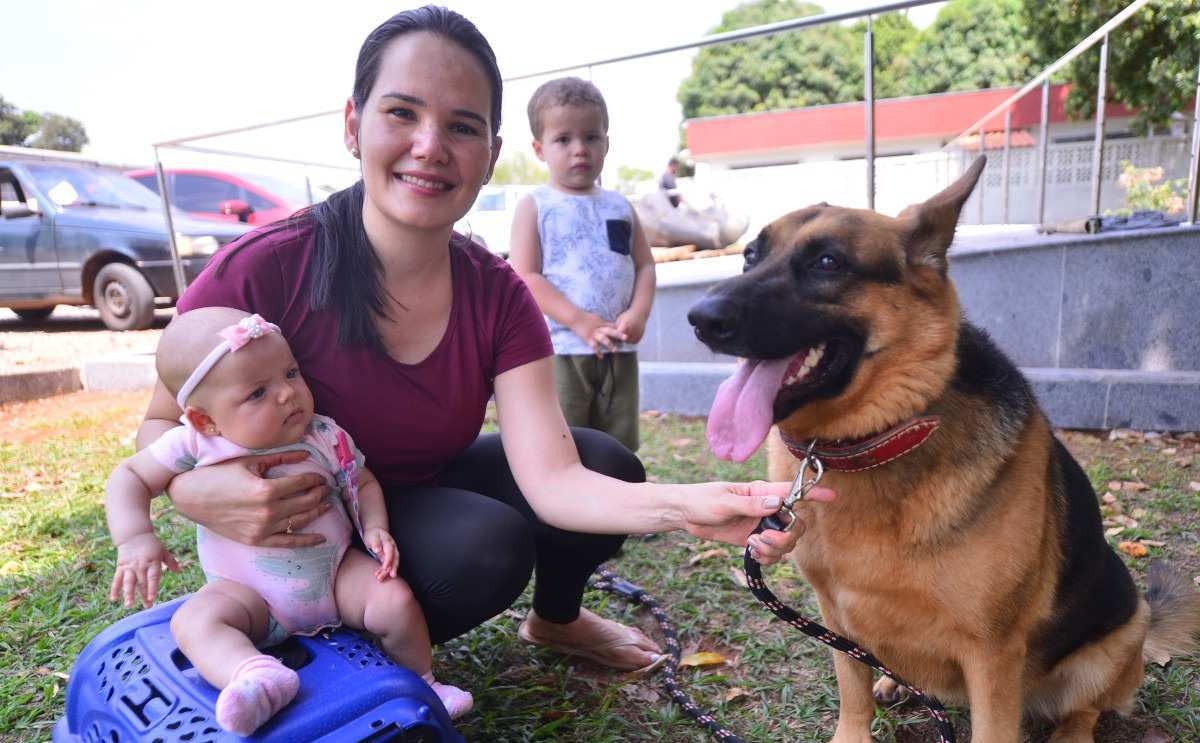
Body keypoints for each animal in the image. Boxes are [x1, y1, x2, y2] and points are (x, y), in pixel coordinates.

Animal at [691, 153, 1195, 739]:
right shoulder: (835, 619)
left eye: (827, 261)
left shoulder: (991, 653)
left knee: (1086, 708)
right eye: (750, 256)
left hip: (1120, 635)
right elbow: (852, 694)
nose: (699, 318)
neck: (879, 439)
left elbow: (993, 727)